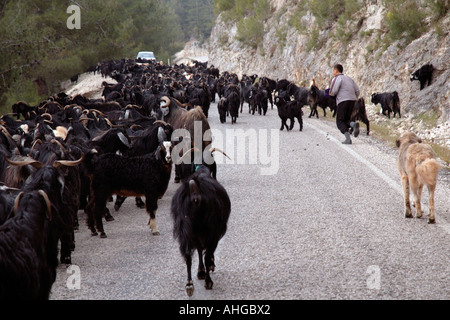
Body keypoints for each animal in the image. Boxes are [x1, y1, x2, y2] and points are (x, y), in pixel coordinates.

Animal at [171, 165, 230, 298]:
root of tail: (195, 191)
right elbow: (205, 252)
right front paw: (206, 269)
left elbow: (198, 250)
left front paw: (200, 271)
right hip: (211, 229)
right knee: (207, 255)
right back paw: (208, 281)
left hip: (185, 228)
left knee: (188, 254)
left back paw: (189, 285)